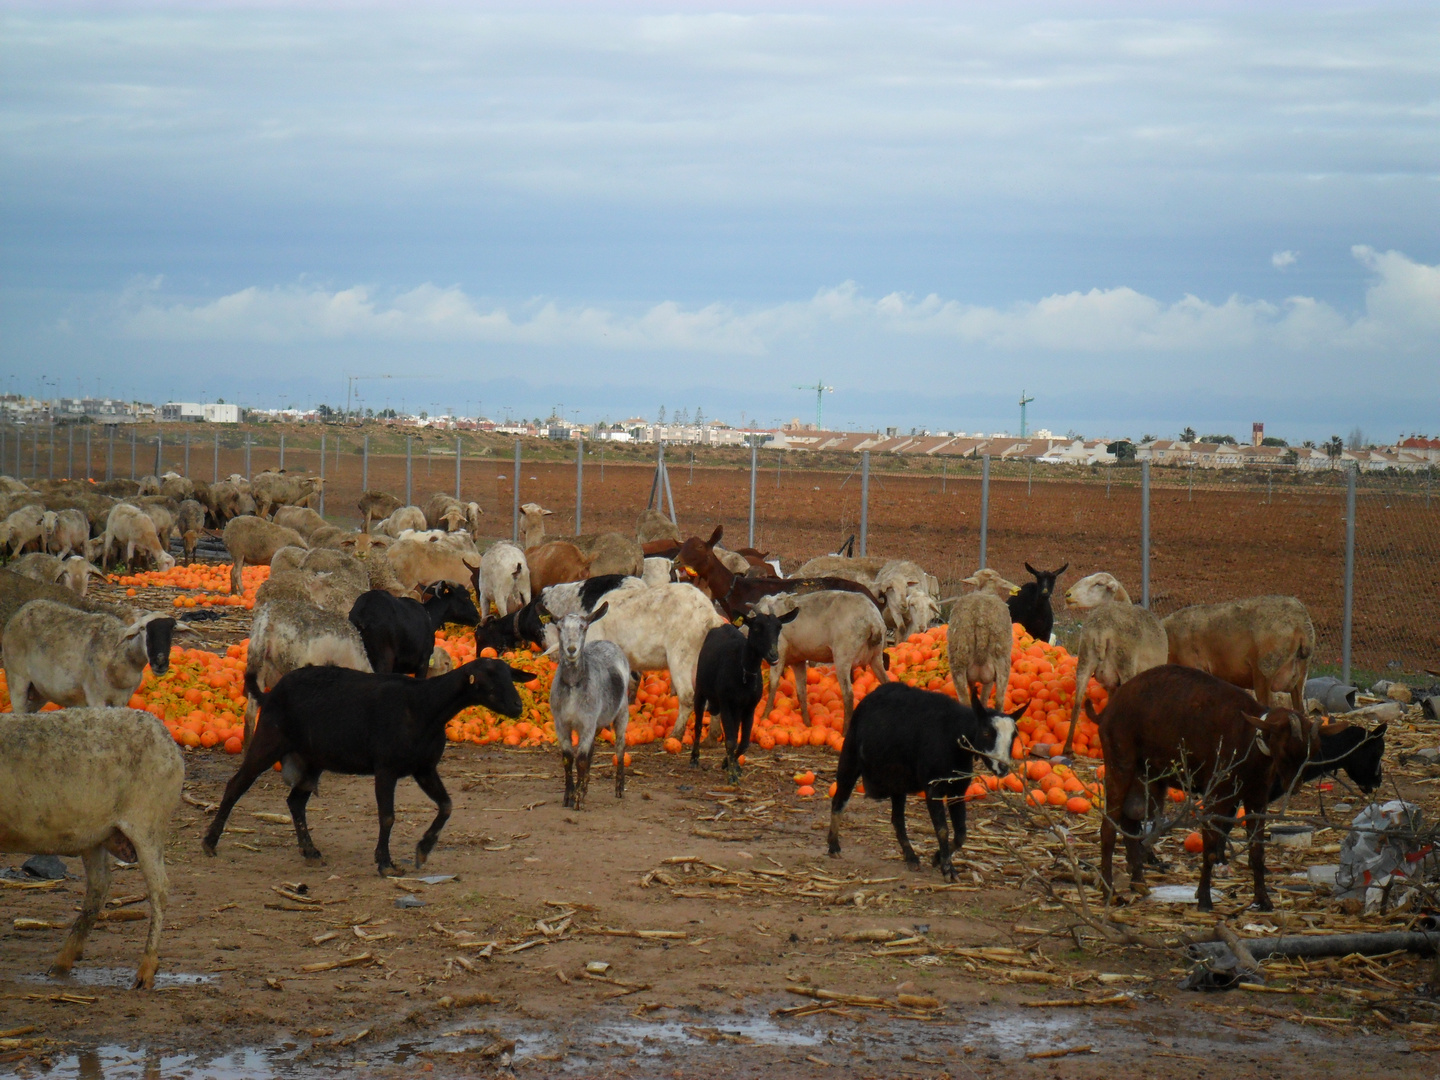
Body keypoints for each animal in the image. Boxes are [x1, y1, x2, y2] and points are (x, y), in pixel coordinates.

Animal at [203, 659, 535, 881]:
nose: (517, 707)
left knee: (295, 801)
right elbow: (387, 816)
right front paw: (385, 863)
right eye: (486, 682)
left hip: (313, 760)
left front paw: (423, 849)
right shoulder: (385, 768)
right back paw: (210, 843)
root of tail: (270, 692)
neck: (424, 707)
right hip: (269, 740)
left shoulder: (424, 768)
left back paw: (310, 851)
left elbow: (447, 806)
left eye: (511, 677)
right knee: (236, 784)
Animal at [349, 584, 480, 676]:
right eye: (466, 596)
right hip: (383, 658)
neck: (430, 615)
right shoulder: (423, 663)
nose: (477, 617)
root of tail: (362, 614)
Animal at [544, 604, 630, 806]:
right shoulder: (561, 723)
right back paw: (584, 788)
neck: (573, 685)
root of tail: (608, 643)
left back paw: (619, 788)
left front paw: (576, 800)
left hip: (622, 711)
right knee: (592, 750)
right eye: (559, 628)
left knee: (620, 747)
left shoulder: (587, 722)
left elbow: (581, 759)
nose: (571, 649)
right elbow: (568, 758)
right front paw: (570, 795)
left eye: (583, 627)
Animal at [688, 610, 794, 777]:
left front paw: (729, 764)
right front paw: (732, 776)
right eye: (756, 627)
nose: (773, 655)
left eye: (779, 627)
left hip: (736, 707)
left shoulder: (750, 707)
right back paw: (694, 759)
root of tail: (723, 626)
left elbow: (743, 742)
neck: (744, 672)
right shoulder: (725, 702)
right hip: (701, 689)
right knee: (698, 725)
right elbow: (731, 740)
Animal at [1094, 668, 1319, 915]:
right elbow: (1210, 849)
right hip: (1120, 766)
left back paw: (1138, 882)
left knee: (1130, 822)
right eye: (1288, 751)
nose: (1294, 786)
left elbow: (1257, 852)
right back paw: (1109, 889)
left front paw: (1263, 899)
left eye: (1310, 751)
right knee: (1108, 828)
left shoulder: (1257, 800)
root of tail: (1108, 710)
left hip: (1147, 782)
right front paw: (1204, 898)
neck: (1249, 739)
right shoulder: (1215, 799)